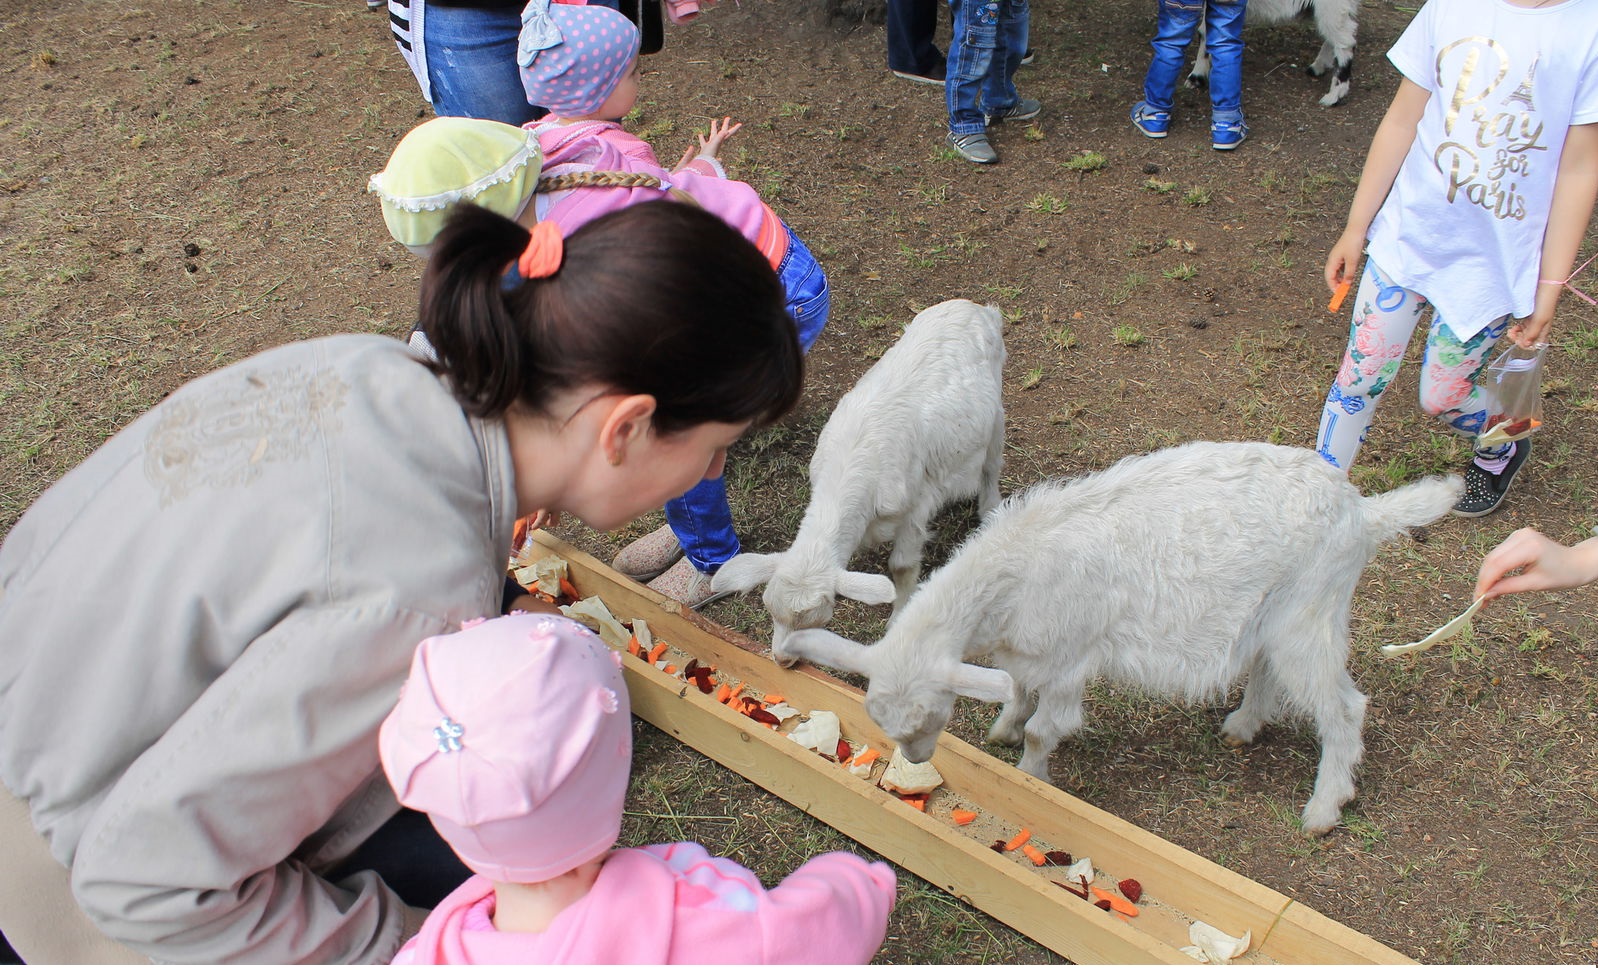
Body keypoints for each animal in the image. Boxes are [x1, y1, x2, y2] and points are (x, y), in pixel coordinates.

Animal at [711, 298, 1006, 651]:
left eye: (817, 619)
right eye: (769, 610)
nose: (782, 658)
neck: (850, 468)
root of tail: (976, 307)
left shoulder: (917, 503)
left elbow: (902, 566)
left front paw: (897, 618)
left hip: (996, 408)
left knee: (991, 464)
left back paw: (990, 510)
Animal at [776, 442, 1463, 835]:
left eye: (926, 719)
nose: (918, 760)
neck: (1014, 574)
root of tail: (1363, 513)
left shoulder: (1071, 657)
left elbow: (1045, 728)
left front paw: (1030, 773)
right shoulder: (1030, 653)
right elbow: (1017, 693)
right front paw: (1001, 730)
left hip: (1313, 609)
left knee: (1344, 707)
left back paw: (1323, 810)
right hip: (1281, 609)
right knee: (1270, 667)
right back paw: (1244, 726)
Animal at [1189, 0, 1359, 107]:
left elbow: (1206, 32)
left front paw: (1196, 76)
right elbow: (1205, 32)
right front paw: (1198, 75)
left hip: (1332, 5)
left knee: (1345, 42)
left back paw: (1334, 95)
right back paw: (1318, 67)